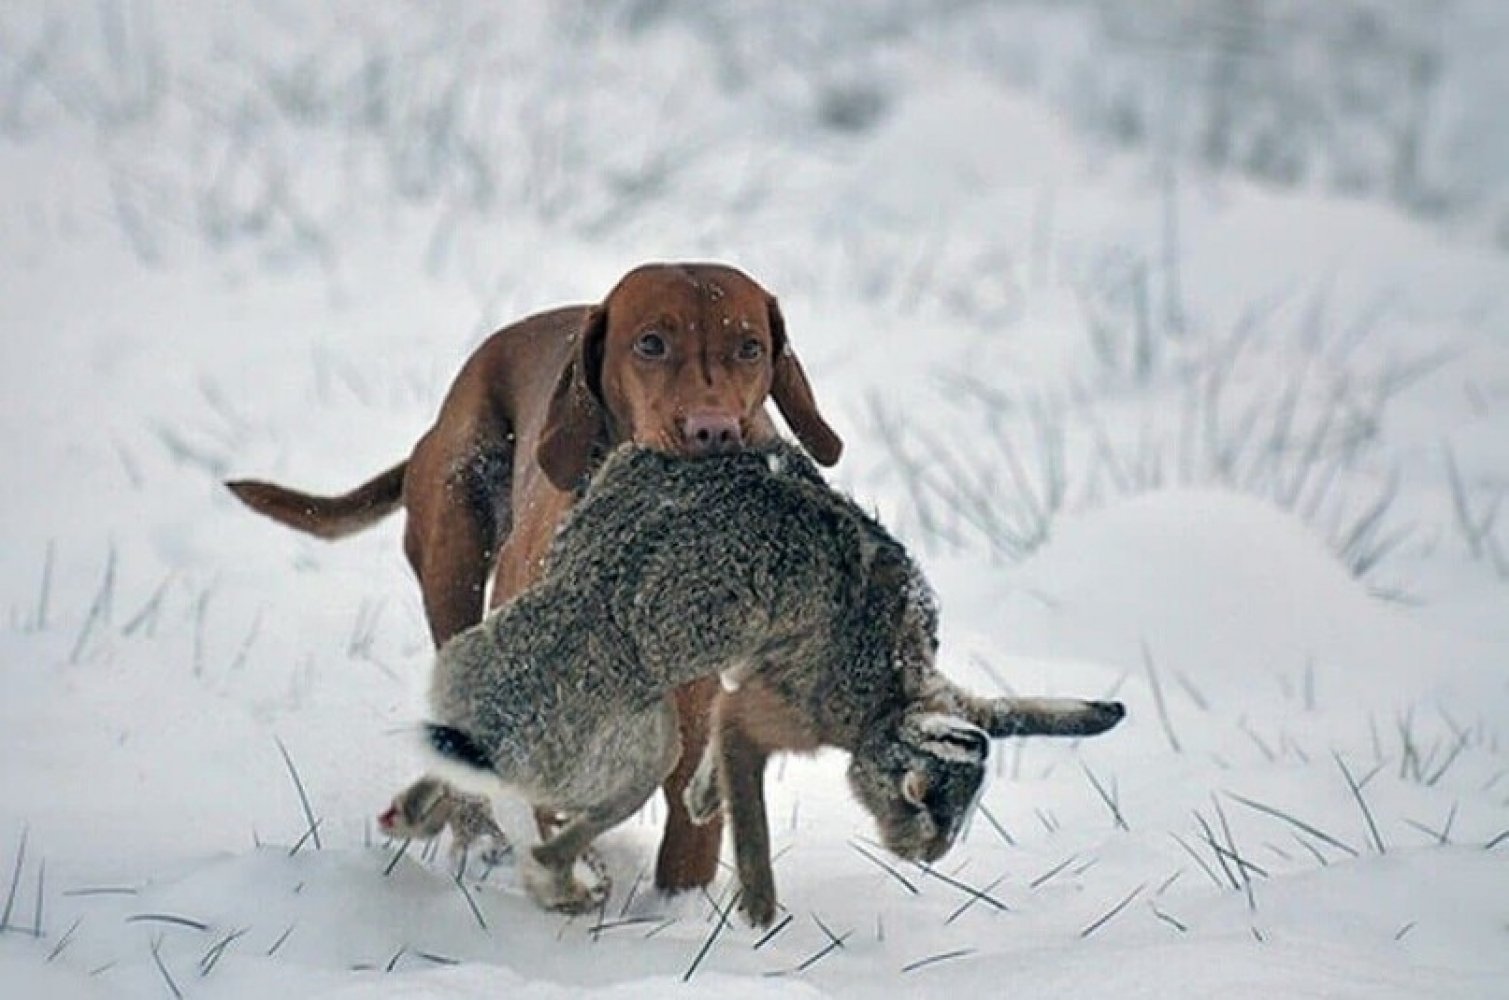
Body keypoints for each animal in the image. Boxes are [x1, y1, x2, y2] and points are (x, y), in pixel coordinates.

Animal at [226, 262, 839, 886]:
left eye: (750, 347)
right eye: (650, 344)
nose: (713, 430)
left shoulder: (696, 736)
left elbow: (686, 840)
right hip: (454, 554)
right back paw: (478, 836)